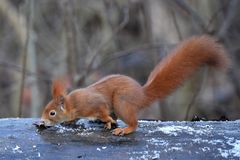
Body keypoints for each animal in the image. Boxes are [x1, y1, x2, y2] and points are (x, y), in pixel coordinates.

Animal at [39, 35, 229, 135]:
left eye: (52, 112)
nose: (41, 121)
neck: (73, 104)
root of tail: (141, 94)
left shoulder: (93, 103)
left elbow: (102, 110)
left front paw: (106, 120)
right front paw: (70, 122)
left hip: (121, 102)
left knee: (133, 122)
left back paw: (123, 128)